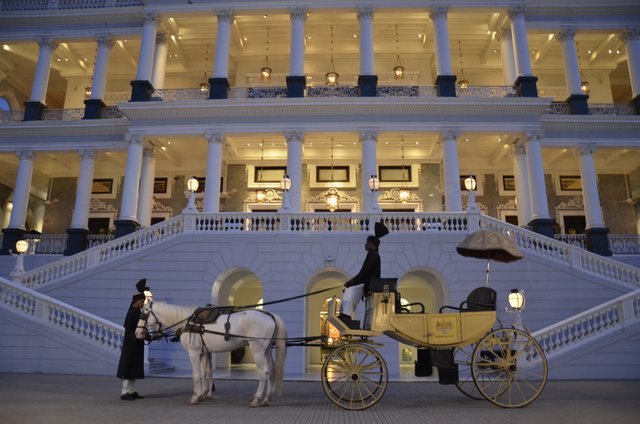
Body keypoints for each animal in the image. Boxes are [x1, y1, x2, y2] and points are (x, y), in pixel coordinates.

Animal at [136, 302, 288, 408]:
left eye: (143, 314)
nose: (137, 333)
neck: (188, 322)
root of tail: (271, 316)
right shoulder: (204, 352)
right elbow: (206, 372)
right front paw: (204, 394)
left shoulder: (194, 352)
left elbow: (196, 374)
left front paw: (195, 397)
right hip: (266, 350)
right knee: (271, 370)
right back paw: (266, 399)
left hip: (257, 350)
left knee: (263, 373)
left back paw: (257, 399)